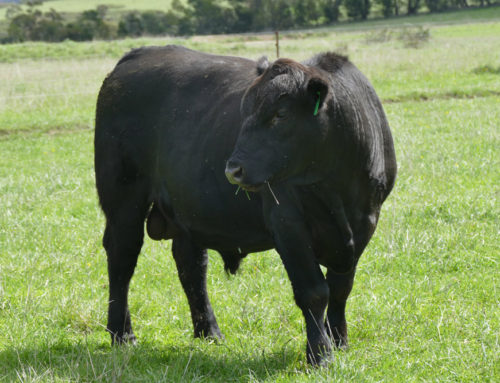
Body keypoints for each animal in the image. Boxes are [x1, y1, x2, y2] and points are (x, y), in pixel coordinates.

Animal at [95, 45, 396, 366]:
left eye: (281, 114)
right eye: (245, 112)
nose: (233, 170)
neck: (336, 186)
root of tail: (140, 54)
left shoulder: (365, 222)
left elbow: (341, 289)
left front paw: (339, 342)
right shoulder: (288, 224)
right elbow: (314, 291)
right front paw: (320, 353)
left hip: (188, 208)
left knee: (191, 265)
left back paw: (209, 331)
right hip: (124, 202)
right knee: (122, 259)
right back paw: (121, 334)